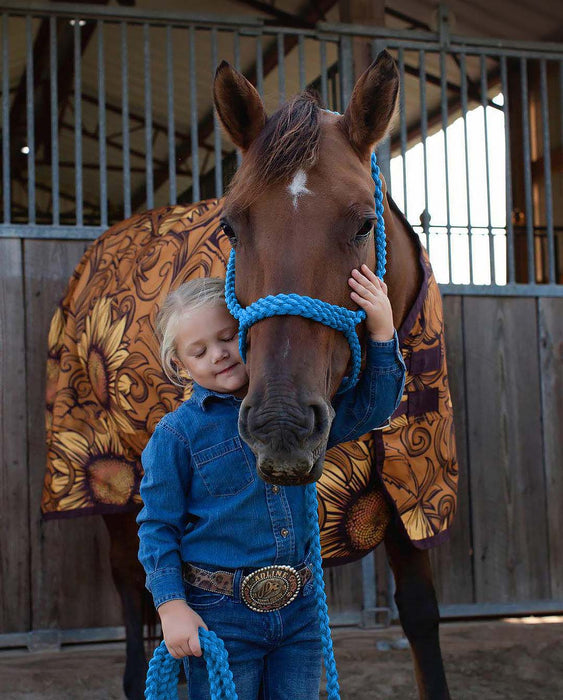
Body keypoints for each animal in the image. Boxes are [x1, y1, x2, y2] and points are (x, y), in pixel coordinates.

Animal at [46, 52, 456, 696]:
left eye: (365, 224)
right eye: (232, 227)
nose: (280, 428)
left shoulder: (412, 491)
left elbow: (419, 614)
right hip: (107, 472)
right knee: (133, 583)